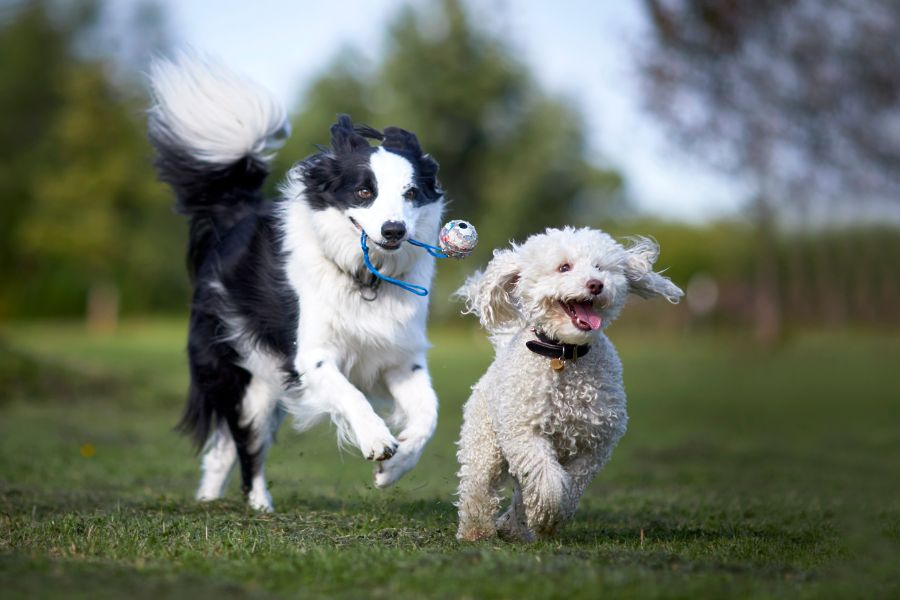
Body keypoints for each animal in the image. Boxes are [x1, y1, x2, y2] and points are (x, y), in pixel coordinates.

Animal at [151, 54, 446, 510]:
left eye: (412, 193)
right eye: (364, 192)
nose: (394, 230)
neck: (365, 279)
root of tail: (236, 216)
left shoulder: (400, 356)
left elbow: (430, 412)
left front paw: (394, 468)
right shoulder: (311, 354)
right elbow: (349, 393)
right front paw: (377, 439)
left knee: (223, 448)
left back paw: (209, 499)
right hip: (248, 376)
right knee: (245, 445)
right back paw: (259, 505)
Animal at [458, 227, 684, 540]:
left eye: (600, 267)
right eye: (564, 267)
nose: (595, 284)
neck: (565, 353)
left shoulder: (595, 443)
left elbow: (572, 484)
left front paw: (546, 519)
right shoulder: (525, 433)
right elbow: (548, 481)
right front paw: (546, 516)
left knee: (521, 492)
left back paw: (514, 526)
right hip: (485, 443)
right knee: (479, 485)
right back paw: (477, 530)